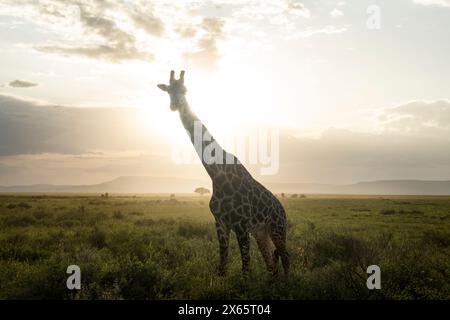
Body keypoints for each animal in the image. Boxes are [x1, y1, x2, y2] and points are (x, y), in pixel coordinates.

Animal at [156, 71, 290, 276]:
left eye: (185, 90)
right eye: (169, 90)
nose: (174, 105)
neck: (216, 175)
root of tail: (283, 211)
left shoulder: (241, 224)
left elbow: (245, 267)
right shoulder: (220, 222)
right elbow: (222, 266)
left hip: (278, 228)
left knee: (285, 257)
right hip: (261, 232)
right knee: (271, 263)